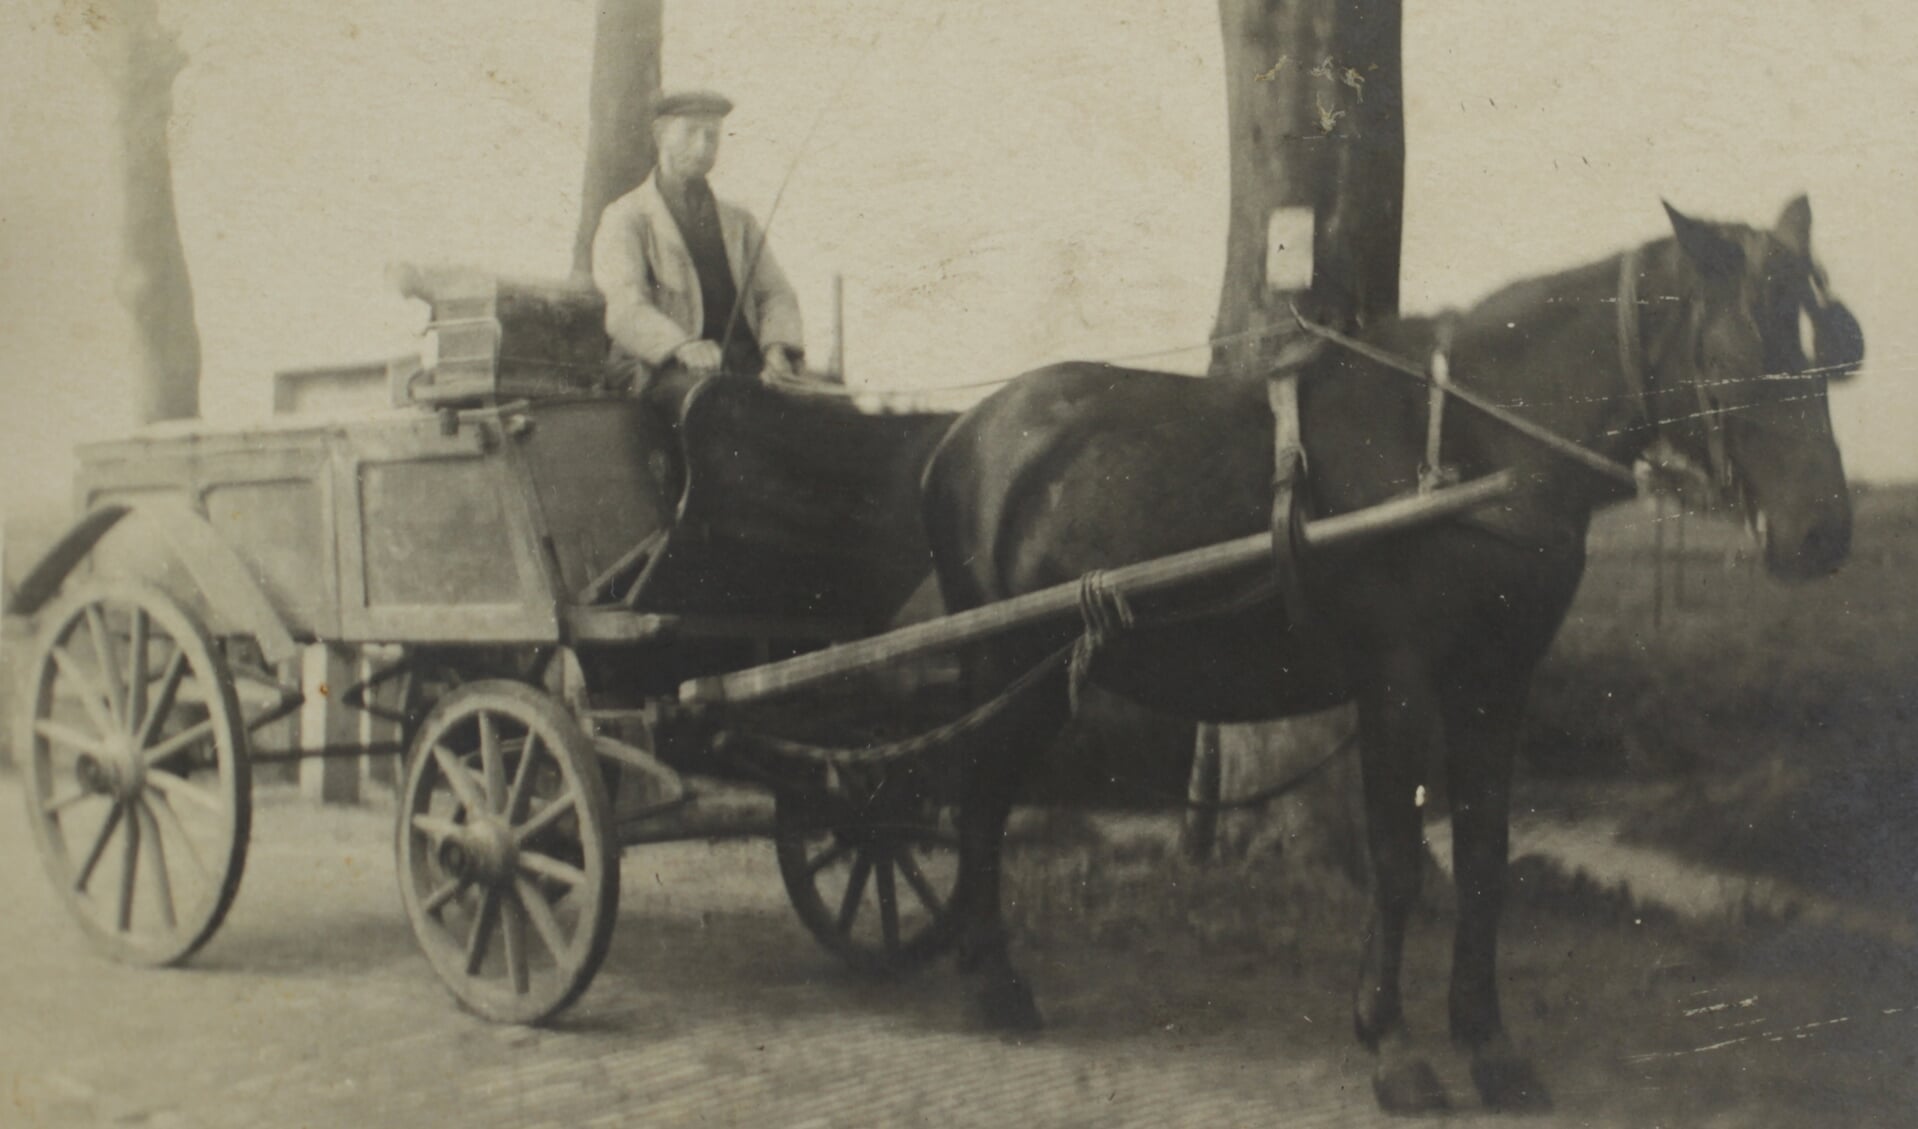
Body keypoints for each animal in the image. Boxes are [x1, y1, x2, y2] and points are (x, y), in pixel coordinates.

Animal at [920, 195, 1864, 1111]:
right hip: (1006, 662)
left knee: (984, 794)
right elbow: (1399, 859)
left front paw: (1490, 1045)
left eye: (1825, 352)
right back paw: (994, 982)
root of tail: (966, 431)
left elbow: (1483, 855)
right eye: (1744, 351)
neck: (1477, 447)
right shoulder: (1397, 681)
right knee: (981, 798)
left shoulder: (1496, 681)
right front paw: (1395, 1048)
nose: (1822, 533)